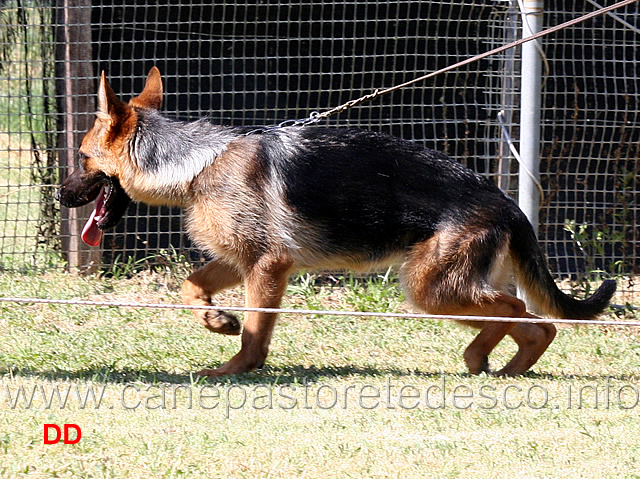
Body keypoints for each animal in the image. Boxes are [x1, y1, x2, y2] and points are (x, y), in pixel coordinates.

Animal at [55, 68, 616, 378]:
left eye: (81, 159)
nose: (59, 196)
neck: (195, 164)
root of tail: (506, 203)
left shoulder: (268, 266)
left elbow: (255, 332)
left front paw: (236, 369)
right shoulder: (242, 260)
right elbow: (192, 287)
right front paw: (218, 321)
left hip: (429, 288)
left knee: (522, 314)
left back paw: (492, 357)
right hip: (445, 289)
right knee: (525, 319)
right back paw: (495, 363)